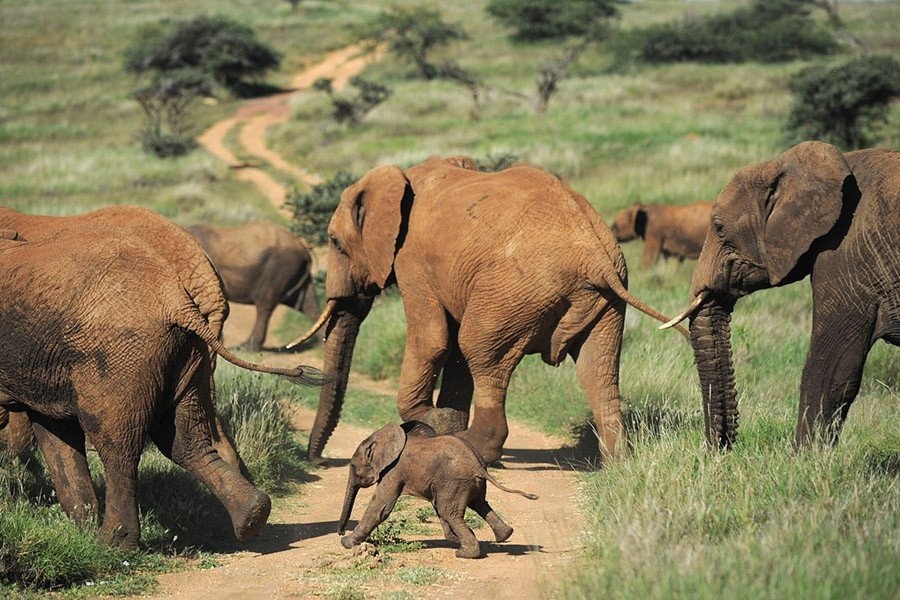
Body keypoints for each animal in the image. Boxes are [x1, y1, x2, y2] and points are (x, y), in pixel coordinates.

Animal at [188, 222, 323, 351]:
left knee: (265, 305)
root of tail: (305, 250)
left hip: (277, 269)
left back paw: (247, 347)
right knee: (308, 304)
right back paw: (322, 342)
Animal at [289, 156, 687, 466]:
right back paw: (616, 464)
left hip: (515, 291)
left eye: (335, 243)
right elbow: (451, 352)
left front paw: (432, 423)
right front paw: (442, 425)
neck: (400, 177)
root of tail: (593, 256)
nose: (319, 460)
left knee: (479, 348)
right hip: (601, 302)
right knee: (599, 369)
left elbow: (434, 340)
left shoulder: (412, 260)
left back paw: (475, 448)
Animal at [337, 422, 537, 559]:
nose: (341, 532)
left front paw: (346, 543)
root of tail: (477, 465)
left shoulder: (394, 470)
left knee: (450, 512)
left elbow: (381, 506)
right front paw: (454, 538)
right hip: (465, 483)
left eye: (353, 466)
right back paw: (504, 535)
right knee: (479, 504)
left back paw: (465, 554)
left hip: (455, 482)